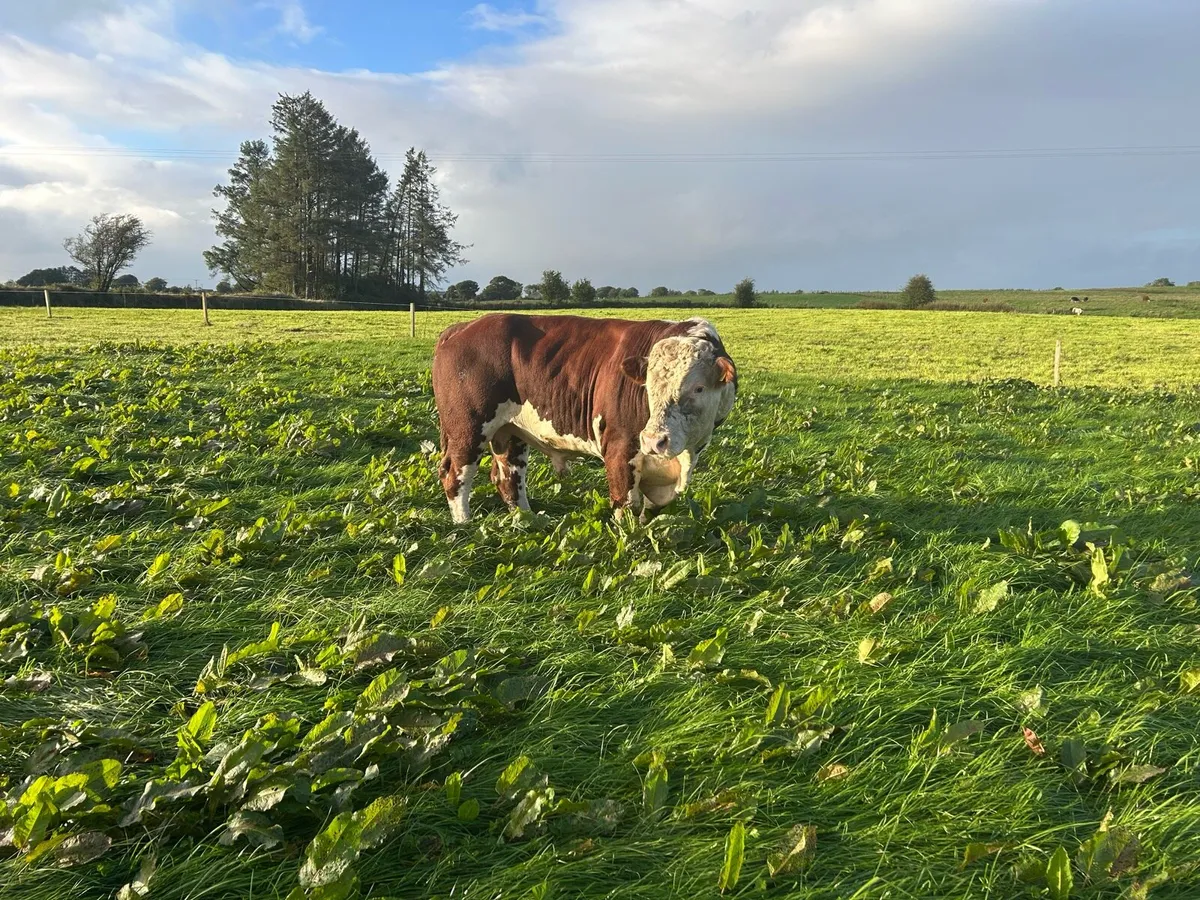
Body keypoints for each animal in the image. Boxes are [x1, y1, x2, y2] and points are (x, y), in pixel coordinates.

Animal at [431, 313, 738, 524]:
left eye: (699, 388)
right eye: (648, 386)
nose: (654, 440)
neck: (682, 457)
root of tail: (462, 327)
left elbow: (650, 510)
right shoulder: (619, 447)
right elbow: (625, 503)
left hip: (510, 433)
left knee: (509, 477)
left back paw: (528, 521)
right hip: (468, 427)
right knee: (456, 474)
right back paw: (464, 523)